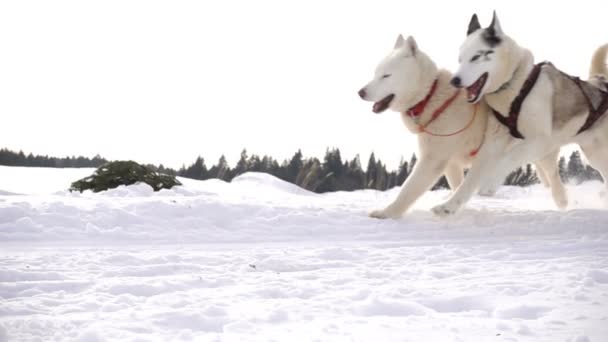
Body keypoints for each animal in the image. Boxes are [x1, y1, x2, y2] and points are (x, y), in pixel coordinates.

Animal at [358, 35, 564, 219]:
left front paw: (387, 213)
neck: (431, 98)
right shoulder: (450, 162)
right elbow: (458, 185)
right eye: (375, 73)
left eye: (386, 75)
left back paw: (563, 202)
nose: (360, 92)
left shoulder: (433, 160)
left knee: (553, 178)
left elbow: (408, 189)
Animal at [432, 14, 608, 216]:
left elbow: (507, 158)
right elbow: (469, 180)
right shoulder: (492, 144)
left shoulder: (539, 140)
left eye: (476, 56)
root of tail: (600, 83)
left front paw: (490, 184)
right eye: (460, 59)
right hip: (593, 154)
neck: (515, 85)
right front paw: (448, 206)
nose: (454, 81)